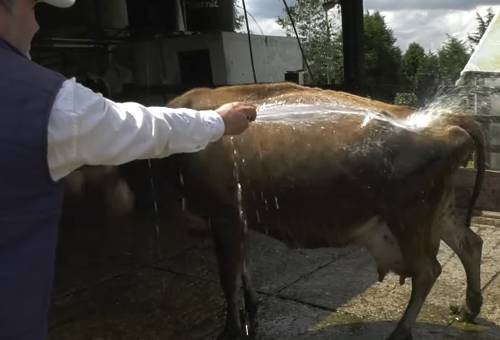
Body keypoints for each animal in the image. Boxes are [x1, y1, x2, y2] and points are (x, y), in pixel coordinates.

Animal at [166, 83, 486, 340]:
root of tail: (450, 122)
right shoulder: (239, 218)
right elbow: (244, 267)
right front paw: (251, 308)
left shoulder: (224, 216)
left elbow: (228, 279)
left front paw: (230, 330)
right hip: (437, 213)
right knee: (470, 244)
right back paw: (469, 307)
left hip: (410, 219)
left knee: (428, 270)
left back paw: (401, 331)